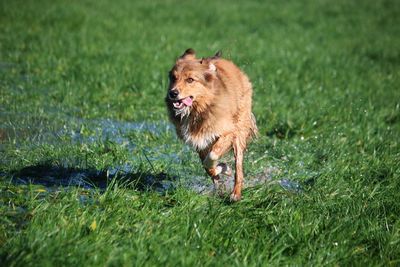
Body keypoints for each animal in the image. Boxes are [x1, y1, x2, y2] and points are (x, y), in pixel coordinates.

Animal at [165, 49, 256, 202]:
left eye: (190, 80)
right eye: (173, 78)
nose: (173, 93)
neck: (200, 109)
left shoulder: (229, 132)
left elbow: (212, 157)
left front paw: (224, 169)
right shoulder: (200, 141)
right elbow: (206, 166)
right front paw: (221, 171)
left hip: (239, 130)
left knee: (239, 168)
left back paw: (235, 194)